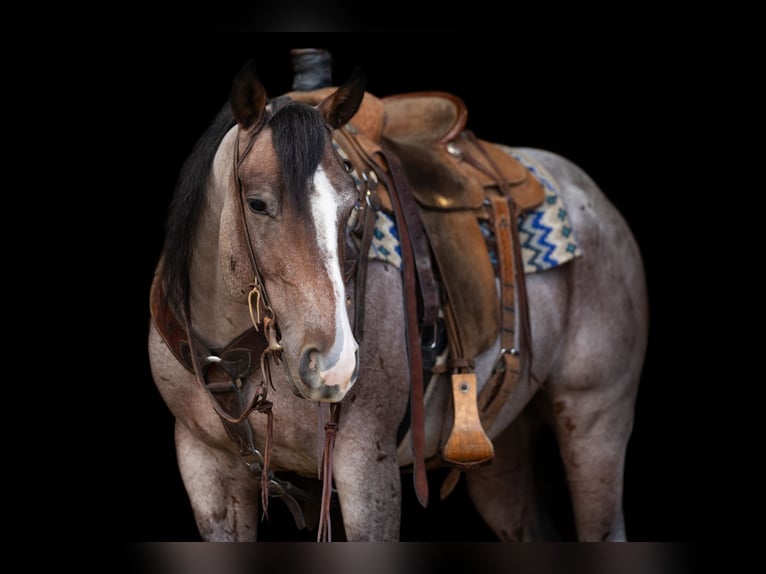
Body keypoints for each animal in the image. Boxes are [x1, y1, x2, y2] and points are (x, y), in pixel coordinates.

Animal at [147, 58, 648, 542]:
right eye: (256, 203)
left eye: (352, 207)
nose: (333, 363)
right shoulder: (205, 471)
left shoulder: (366, 466)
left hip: (594, 426)